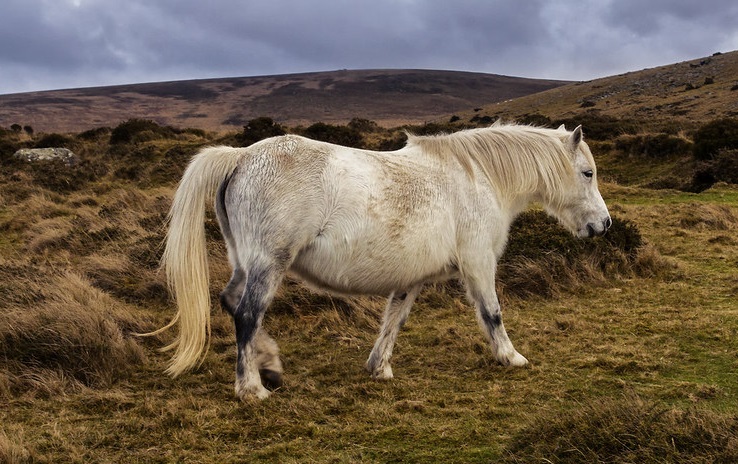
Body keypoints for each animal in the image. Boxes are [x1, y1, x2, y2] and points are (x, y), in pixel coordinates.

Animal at [151, 122, 608, 398]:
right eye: (587, 173)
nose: (603, 225)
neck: (477, 179)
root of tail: (241, 157)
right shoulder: (479, 264)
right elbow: (492, 313)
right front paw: (511, 357)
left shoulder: (413, 278)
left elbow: (394, 320)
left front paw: (379, 368)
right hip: (268, 265)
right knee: (247, 314)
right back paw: (251, 389)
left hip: (246, 264)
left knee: (231, 302)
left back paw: (271, 368)